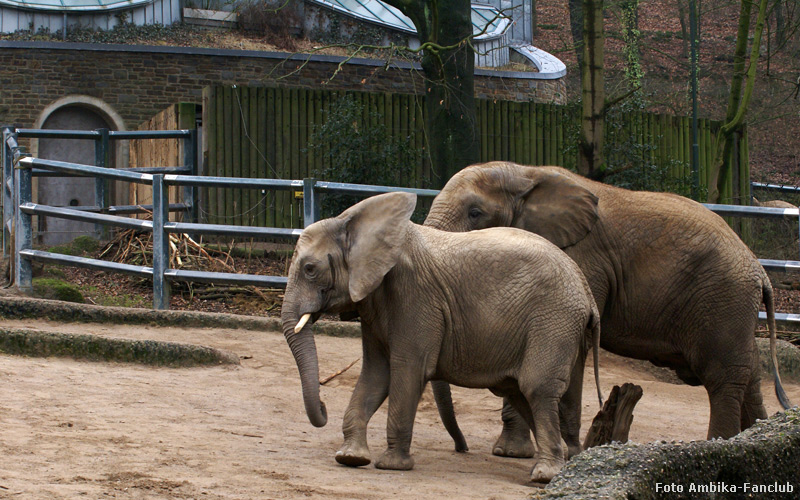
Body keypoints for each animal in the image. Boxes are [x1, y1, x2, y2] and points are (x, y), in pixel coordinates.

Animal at [282, 192, 600, 484]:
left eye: (310, 269)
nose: (323, 408)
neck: (354, 222)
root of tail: (585, 288)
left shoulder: (413, 295)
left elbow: (407, 370)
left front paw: (391, 466)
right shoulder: (374, 302)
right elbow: (376, 374)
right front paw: (350, 458)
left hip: (554, 320)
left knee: (536, 388)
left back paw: (545, 475)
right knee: (521, 391)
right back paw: (563, 464)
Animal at [428, 162, 792, 456]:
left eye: (475, 213)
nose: (461, 448)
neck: (523, 172)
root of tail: (759, 269)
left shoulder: (582, 259)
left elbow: (574, 345)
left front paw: (549, 452)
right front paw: (513, 453)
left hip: (723, 299)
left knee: (722, 376)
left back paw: (718, 445)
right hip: (734, 307)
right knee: (749, 373)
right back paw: (757, 440)